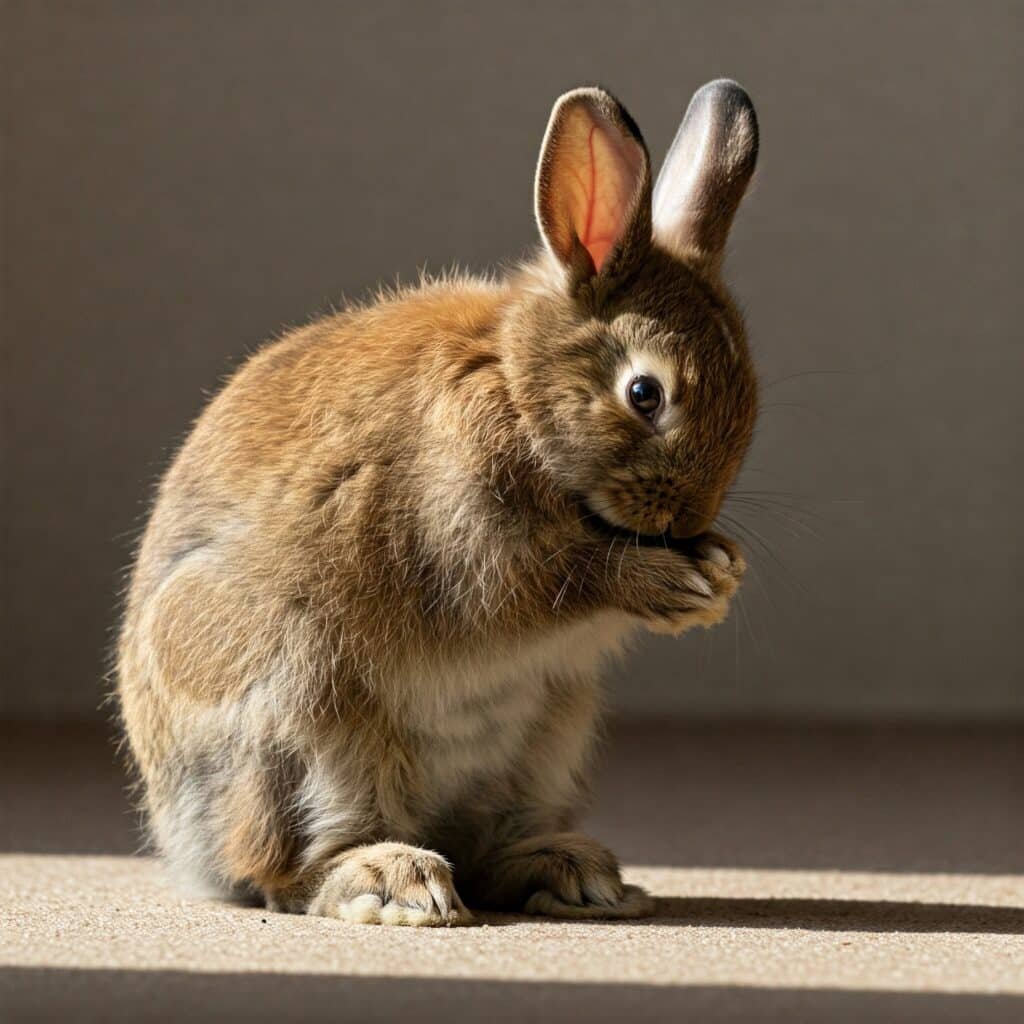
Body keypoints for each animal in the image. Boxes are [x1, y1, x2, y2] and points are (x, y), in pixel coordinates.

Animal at [117, 79, 759, 926]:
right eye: (644, 394)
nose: (686, 521)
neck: (519, 391)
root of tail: (178, 839)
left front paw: (722, 570)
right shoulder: (468, 546)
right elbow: (544, 584)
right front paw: (679, 584)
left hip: (549, 738)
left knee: (484, 853)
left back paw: (575, 875)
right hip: (300, 722)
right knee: (290, 872)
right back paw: (395, 880)